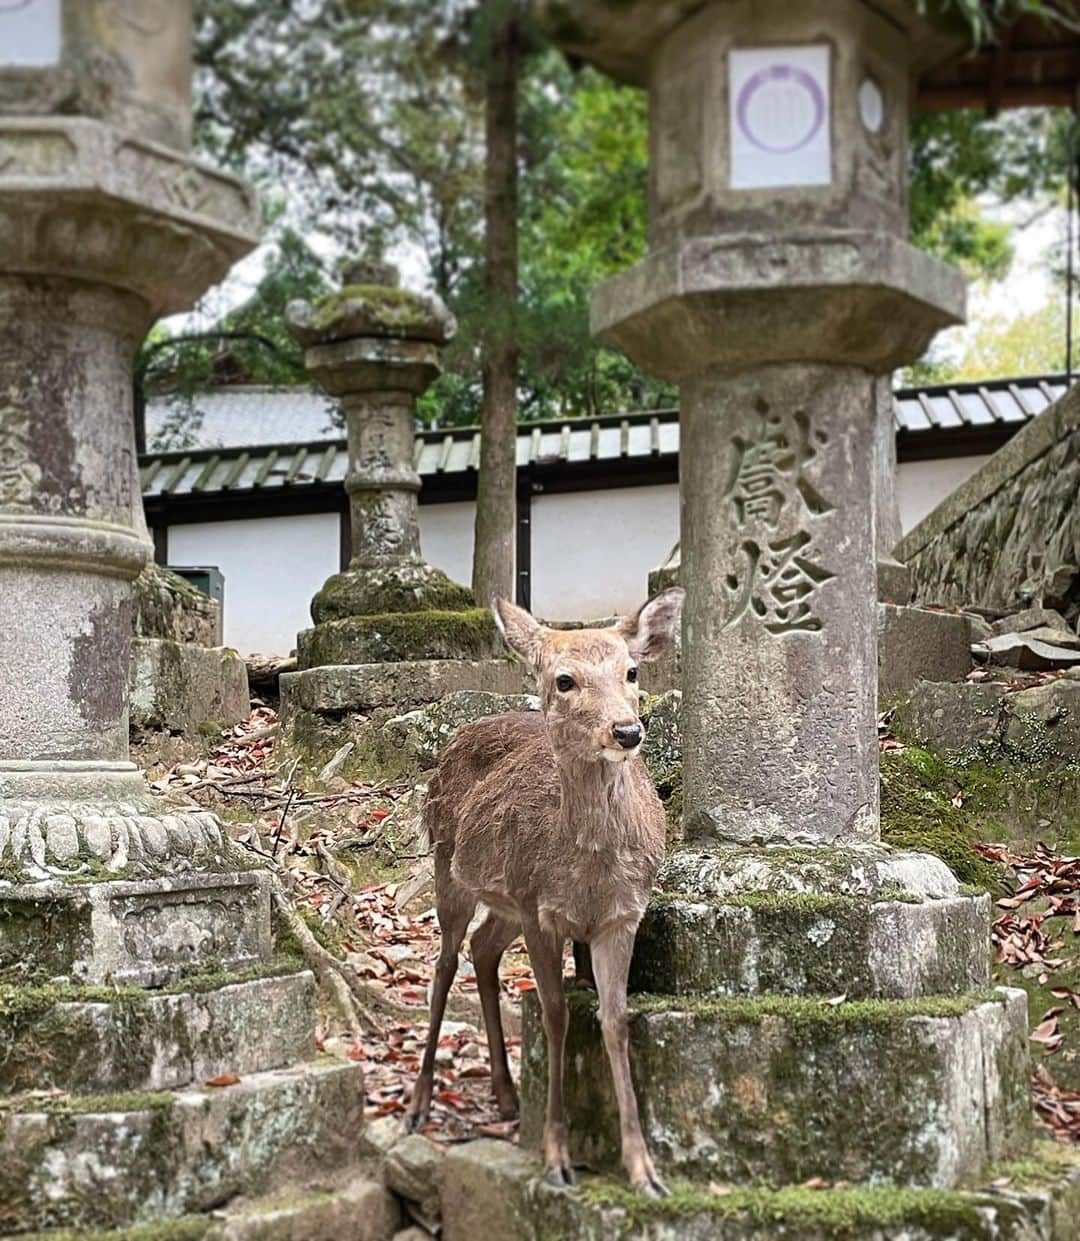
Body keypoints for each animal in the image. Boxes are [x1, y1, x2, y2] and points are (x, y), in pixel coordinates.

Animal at [407, 585, 685, 1196]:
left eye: (632, 671)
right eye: (564, 680)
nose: (627, 731)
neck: (588, 876)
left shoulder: (622, 915)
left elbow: (615, 1021)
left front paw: (644, 1169)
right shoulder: (541, 910)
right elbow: (556, 1015)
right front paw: (557, 1157)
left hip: (505, 899)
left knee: (483, 948)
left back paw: (508, 1096)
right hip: (449, 864)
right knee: (444, 964)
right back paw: (417, 1104)